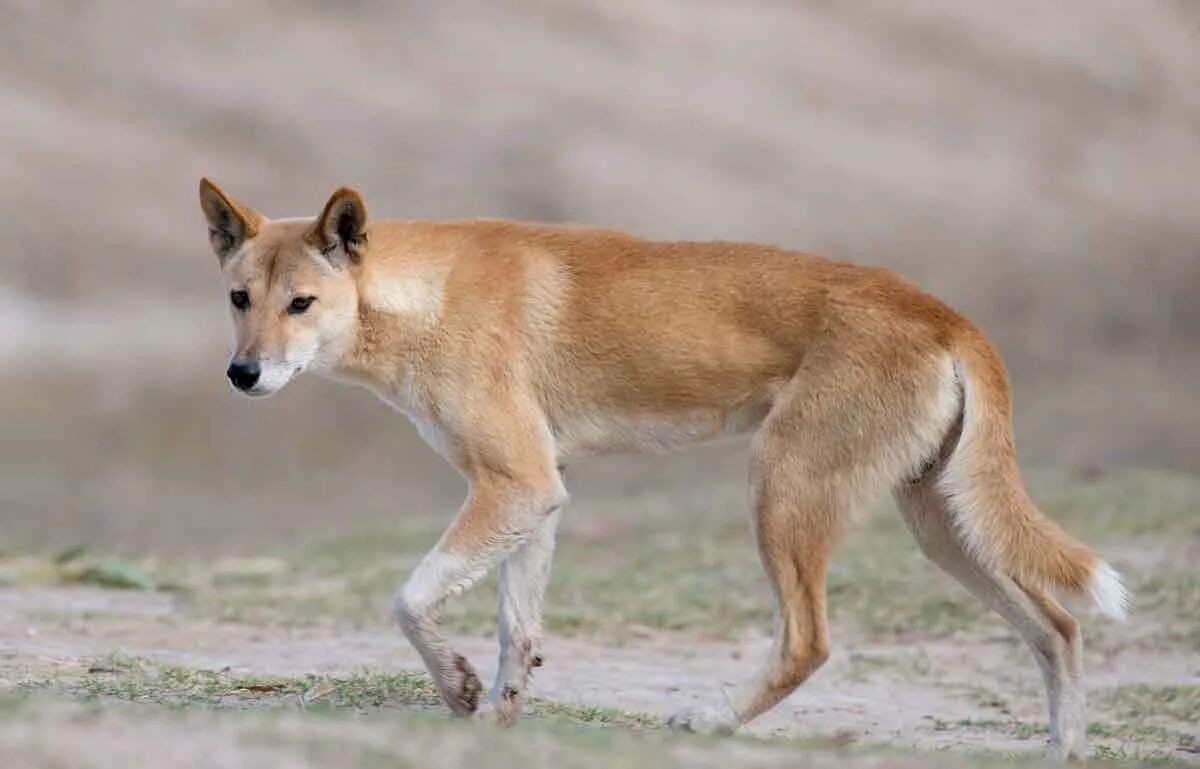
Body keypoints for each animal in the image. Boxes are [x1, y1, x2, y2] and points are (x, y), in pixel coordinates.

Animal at [196, 177, 1123, 758]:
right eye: (240, 298)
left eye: (302, 303)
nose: (242, 374)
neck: (425, 296)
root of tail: (947, 315)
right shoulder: (535, 493)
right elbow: (516, 630)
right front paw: (496, 715)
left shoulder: (515, 484)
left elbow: (409, 597)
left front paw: (457, 686)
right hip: (939, 522)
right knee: (1057, 628)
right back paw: (1064, 750)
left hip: (784, 485)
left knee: (809, 641)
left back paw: (711, 719)